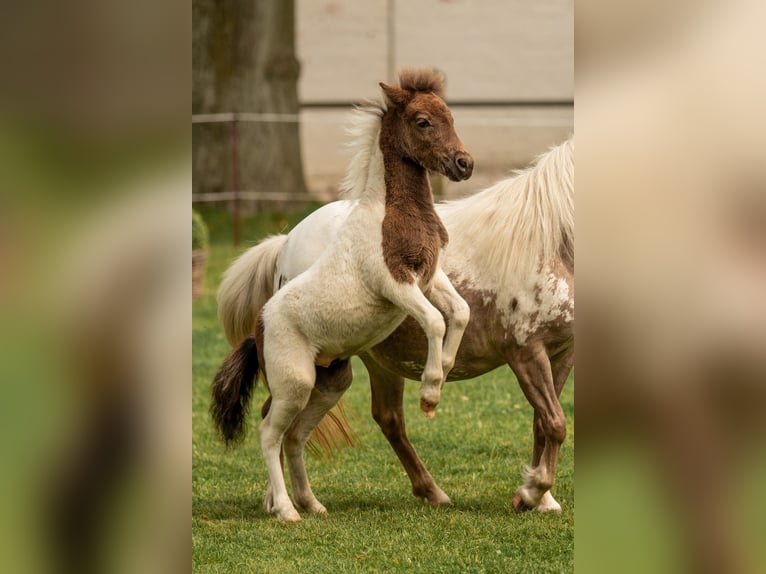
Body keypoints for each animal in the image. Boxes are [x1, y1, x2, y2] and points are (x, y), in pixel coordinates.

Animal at [210, 70, 474, 524]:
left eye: (450, 116)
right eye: (423, 121)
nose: (464, 164)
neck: (388, 213)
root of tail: (258, 326)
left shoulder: (430, 278)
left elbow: (460, 312)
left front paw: (441, 376)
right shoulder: (395, 285)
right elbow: (436, 320)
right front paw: (429, 393)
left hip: (330, 383)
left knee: (294, 436)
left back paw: (311, 503)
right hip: (296, 382)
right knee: (268, 432)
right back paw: (285, 509)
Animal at [216, 137, 576, 516]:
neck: (549, 241)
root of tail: (286, 243)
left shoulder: (561, 353)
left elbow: (543, 423)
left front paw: (540, 498)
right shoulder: (525, 353)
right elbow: (555, 422)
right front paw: (532, 492)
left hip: (363, 364)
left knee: (384, 418)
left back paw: (429, 491)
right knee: (277, 419)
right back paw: (279, 502)